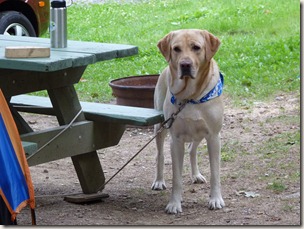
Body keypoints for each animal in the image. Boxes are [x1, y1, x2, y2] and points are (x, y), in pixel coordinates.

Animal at [152, 29, 226, 214]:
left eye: (196, 47)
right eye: (176, 49)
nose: (185, 65)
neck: (190, 96)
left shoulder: (213, 136)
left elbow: (215, 173)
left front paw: (215, 199)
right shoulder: (176, 139)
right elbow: (176, 177)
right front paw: (174, 203)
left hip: (199, 134)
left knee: (192, 150)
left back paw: (196, 175)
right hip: (160, 127)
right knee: (160, 155)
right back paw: (159, 181)